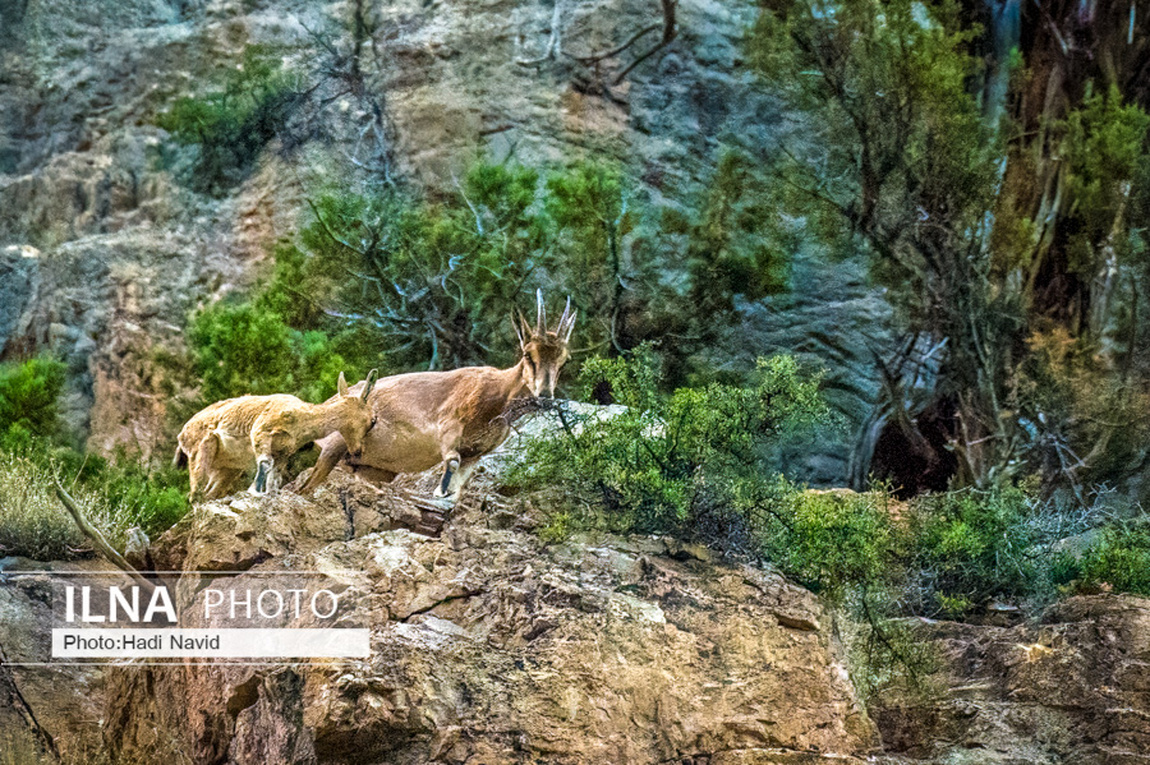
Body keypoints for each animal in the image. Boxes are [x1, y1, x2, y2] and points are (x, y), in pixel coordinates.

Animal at [174, 370, 379, 501]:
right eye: (373, 420)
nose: (358, 451)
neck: (300, 418)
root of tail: (182, 434)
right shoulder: (261, 432)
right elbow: (265, 463)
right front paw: (255, 491)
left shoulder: (283, 452)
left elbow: (275, 479)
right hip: (201, 448)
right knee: (196, 493)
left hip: (227, 469)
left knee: (211, 493)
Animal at [301, 289, 579, 499]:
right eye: (527, 354)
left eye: (564, 361)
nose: (545, 396)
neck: (497, 395)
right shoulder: (449, 426)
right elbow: (451, 462)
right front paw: (439, 491)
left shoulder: (475, 454)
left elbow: (456, 489)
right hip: (334, 446)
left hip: (368, 468)